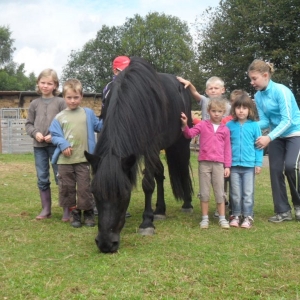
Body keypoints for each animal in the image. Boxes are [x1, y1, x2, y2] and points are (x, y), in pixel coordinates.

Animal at [85, 56, 192, 253]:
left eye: (124, 193)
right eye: (94, 192)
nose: (105, 244)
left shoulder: (150, 147)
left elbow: (147, 184)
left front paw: (146, 223)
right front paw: (153, 215)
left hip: (180, 143)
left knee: (181, 170)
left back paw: (187, 204)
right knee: (160, 173)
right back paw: (160, 210)